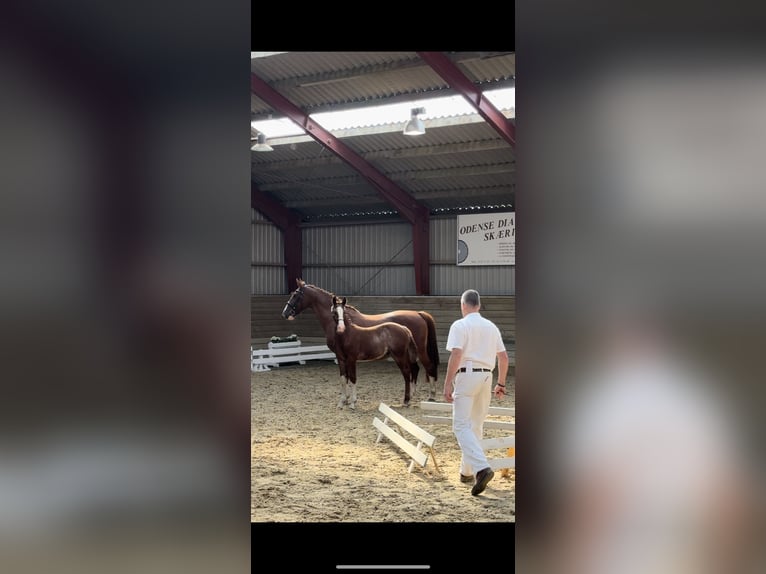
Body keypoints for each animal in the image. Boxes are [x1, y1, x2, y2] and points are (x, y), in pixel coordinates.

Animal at [282, 280, 440, 400]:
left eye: (296, 295)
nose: (285, 313)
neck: (340, 323)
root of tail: (418, 314)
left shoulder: (342, 355)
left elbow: (347, 377)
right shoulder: (343, 356)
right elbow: (345, 377)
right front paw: (346, 399)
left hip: (419, 351)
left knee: (428, 367)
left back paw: (431, 396)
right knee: (415, 369)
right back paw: (412, 395)